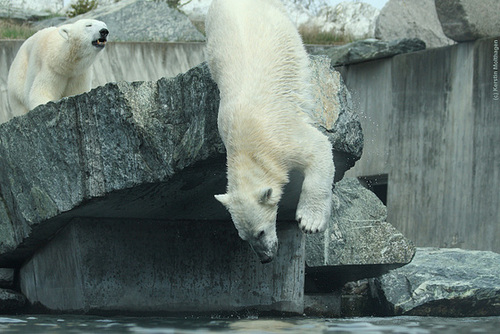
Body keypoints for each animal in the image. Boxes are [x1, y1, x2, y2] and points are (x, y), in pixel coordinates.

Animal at [205, 0, 334, 264]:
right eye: (244, 238)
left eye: (261, 232)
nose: (265, 258)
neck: (246, 147)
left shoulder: (282, 138)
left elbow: (319, 149)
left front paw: (310, 221)